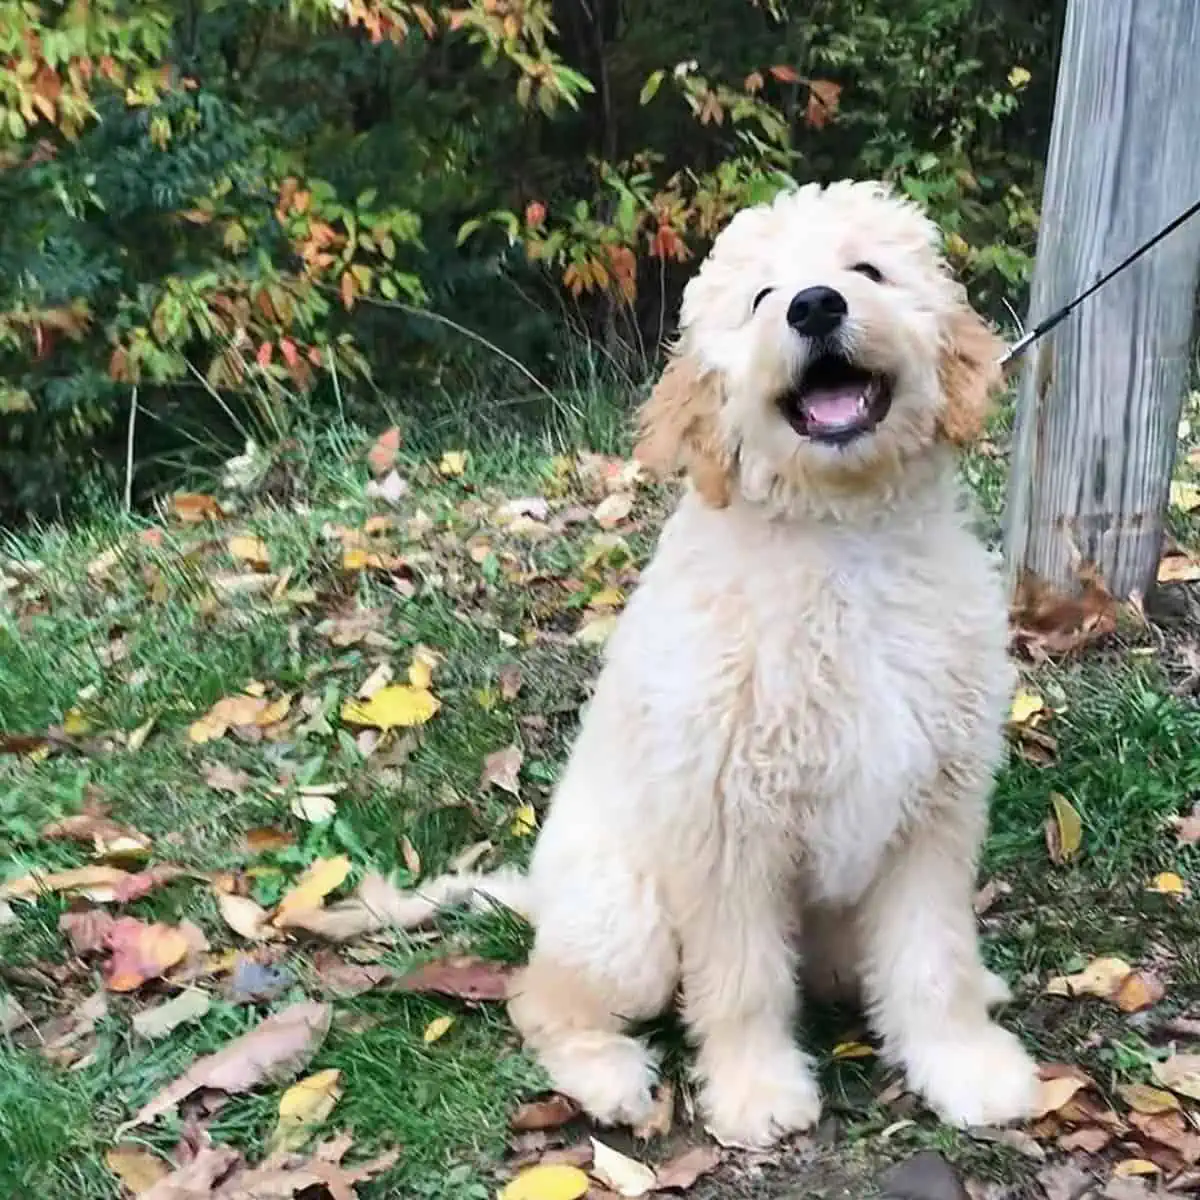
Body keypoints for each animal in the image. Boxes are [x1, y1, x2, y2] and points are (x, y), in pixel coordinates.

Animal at [420, 177, 1032, 1142]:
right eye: (760, 299)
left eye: (868, 270)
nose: (816, 305)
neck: (841, 541)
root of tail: (541, 900)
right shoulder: (725, 823)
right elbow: (742, 979)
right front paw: (757, 1091)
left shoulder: (935, 808)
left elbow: (932, 957)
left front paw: (963, 1065)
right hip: (626, 922)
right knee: (541, 998)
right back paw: (606, 1077)